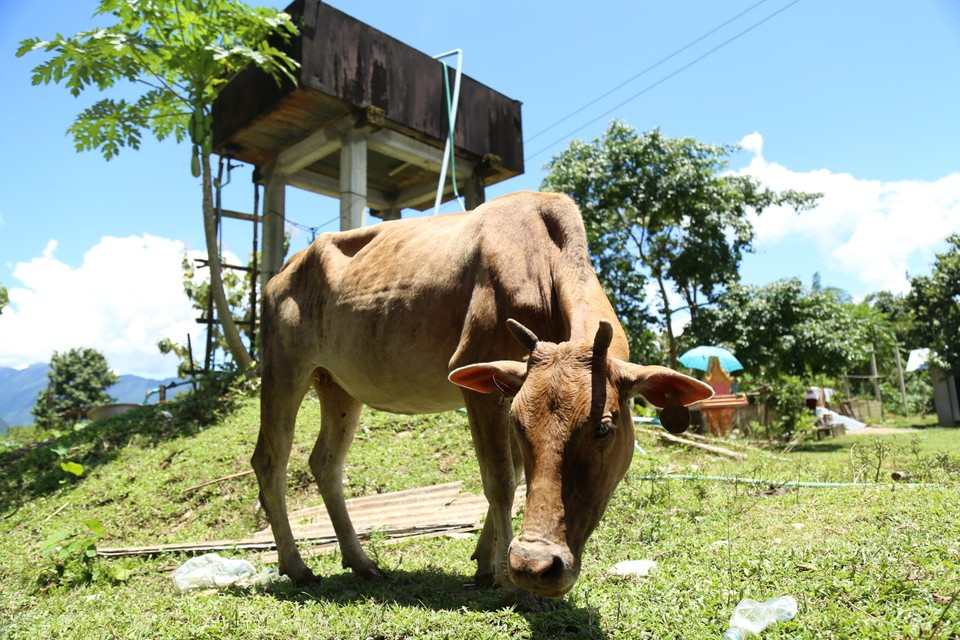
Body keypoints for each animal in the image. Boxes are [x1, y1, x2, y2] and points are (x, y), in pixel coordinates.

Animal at [252, 191, 712, 606]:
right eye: (520, 425)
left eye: (604, 427)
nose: (537, 565)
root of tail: (283, 270)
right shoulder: (480, 384)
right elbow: (501, 480)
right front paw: (510, 580)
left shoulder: (507, 388)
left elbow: (517, 473)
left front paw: (487, 562)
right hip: (283, 367)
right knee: (270, 460)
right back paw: (297, 567)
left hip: (338, 385)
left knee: (325, 462)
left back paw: (361, 561)